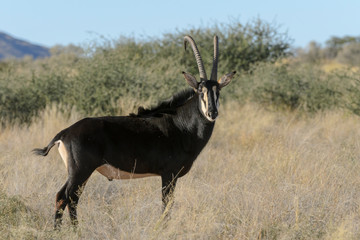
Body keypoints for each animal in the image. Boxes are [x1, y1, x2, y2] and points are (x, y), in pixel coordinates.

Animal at [33, 34, 236, 228]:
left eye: (218, 91)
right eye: (200, 90)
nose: (212, 113)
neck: (182, 124)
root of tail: (65, 133)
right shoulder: (169, 175)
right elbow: (166, 206)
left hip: (78, 173)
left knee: (69, 199)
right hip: (80, 171)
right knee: (65, 198)